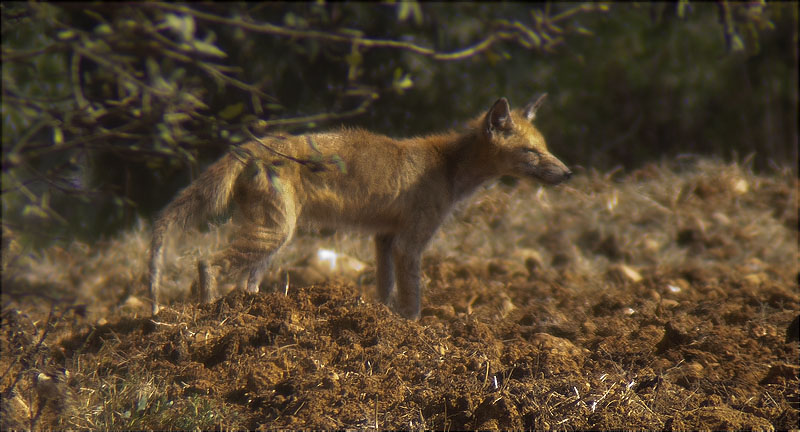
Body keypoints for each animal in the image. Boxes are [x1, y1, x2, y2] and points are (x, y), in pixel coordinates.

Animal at [150, 97, 572, 320]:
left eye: (545, 147)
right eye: (531, 152)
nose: (568, 173)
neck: (449, 166)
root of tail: (252, 146)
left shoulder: (384, 238)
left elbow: (385, 290)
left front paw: (380, 320)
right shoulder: (410, 243)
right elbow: (412, 297)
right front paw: (413, 328)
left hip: (273, 240)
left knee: (245, 282)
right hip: (274, 233)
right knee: (207, 263)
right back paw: (209, 313)